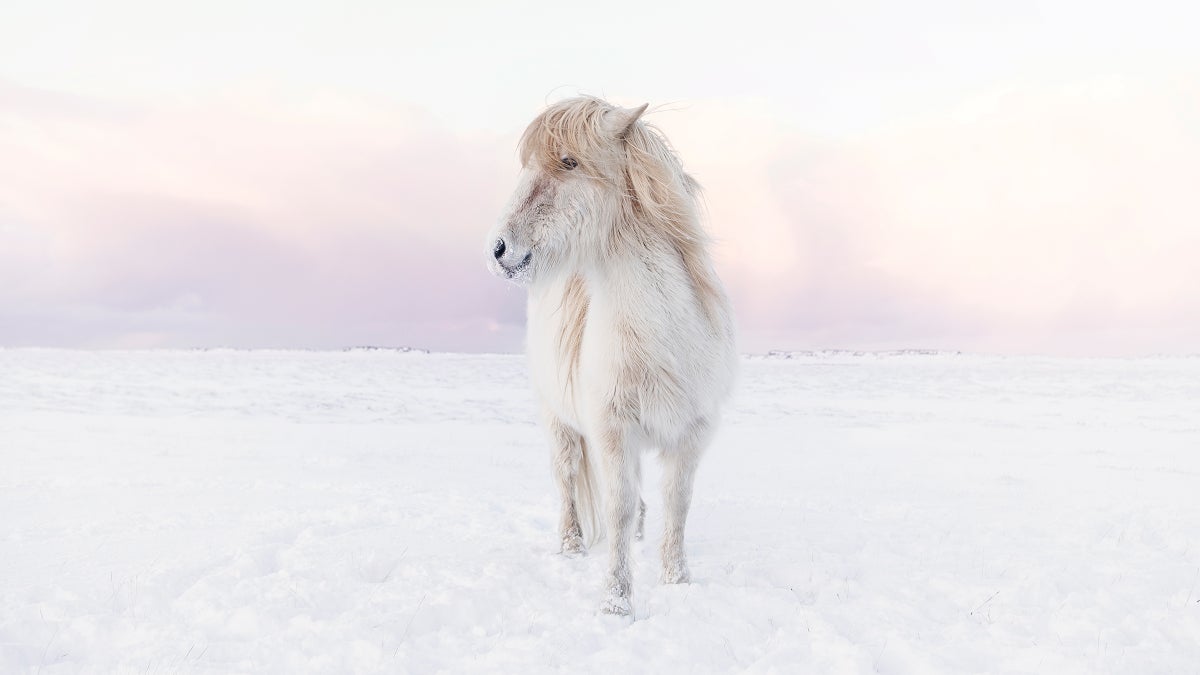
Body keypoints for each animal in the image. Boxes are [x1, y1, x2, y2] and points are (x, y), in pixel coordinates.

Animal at [482, 94, 734, 614]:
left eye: (569, 162)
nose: (498, 250)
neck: (660, 340)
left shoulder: (691, 436)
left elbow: (677, 503)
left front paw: (677, 581)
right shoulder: (612, 430)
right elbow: (617, 507)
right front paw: (617, 602)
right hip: (558, 421)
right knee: (566, 480)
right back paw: (572, 548)